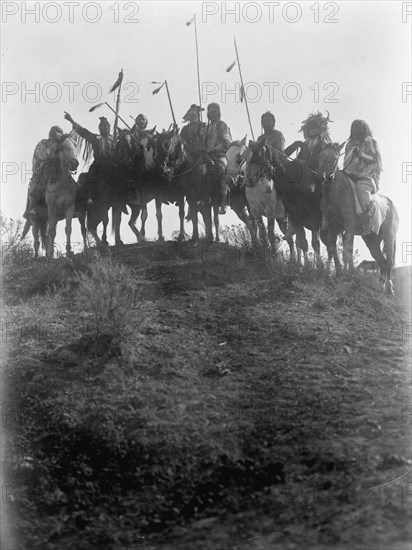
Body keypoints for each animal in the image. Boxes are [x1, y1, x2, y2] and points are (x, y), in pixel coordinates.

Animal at [316, 144, 400, 296]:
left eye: (336, 157)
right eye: (320, 156)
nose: (325, 176)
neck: (334, 191)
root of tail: (391, 205)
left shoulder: (349, 224)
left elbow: (347, 249)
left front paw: (349, 274)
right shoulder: (330, 225)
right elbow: (332, 248)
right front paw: (334, 273)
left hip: (389, 237)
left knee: (389, 261)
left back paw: (389, 288)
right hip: (372, 241)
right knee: (382, 262)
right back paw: (383, 287)